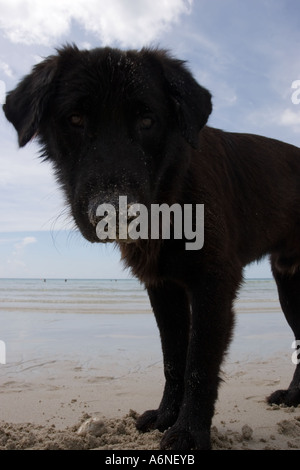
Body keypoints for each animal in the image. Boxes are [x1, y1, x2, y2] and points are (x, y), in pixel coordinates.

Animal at [3, 45, 300, 452]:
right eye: (75, 118)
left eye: (147, 120)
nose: (115, 213)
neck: (172, 198)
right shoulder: (163, 287)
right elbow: (173, 358)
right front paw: (165, 418)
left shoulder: (214, 284)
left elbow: (198, 365)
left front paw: (189, 434)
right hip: (288, 283)